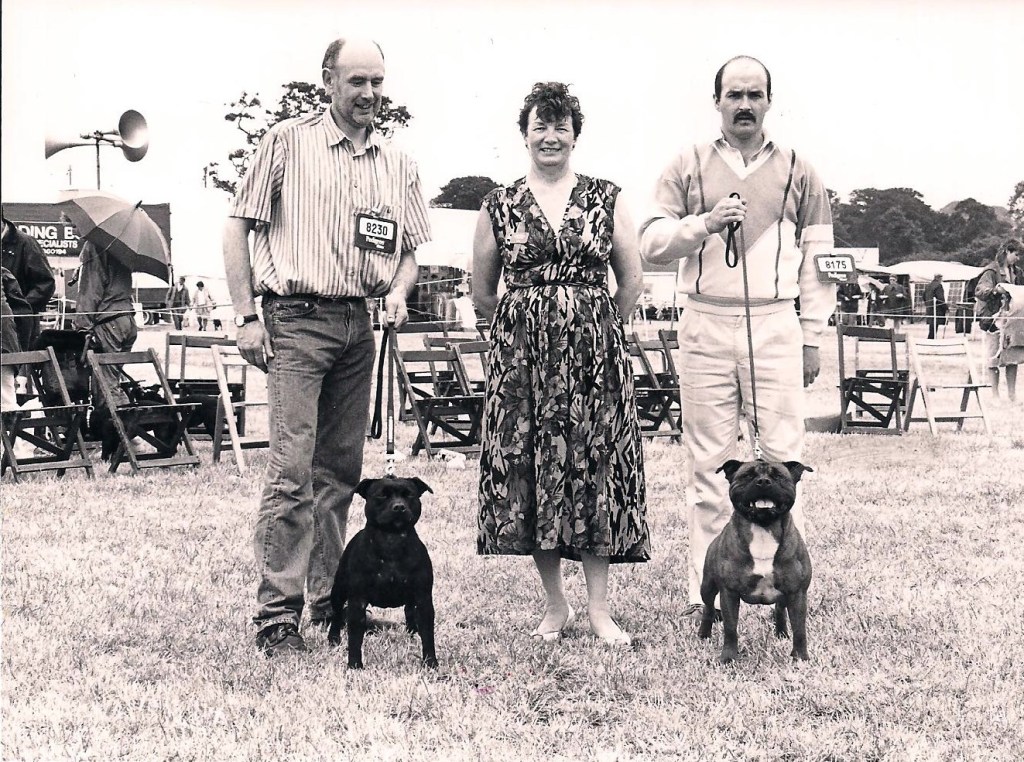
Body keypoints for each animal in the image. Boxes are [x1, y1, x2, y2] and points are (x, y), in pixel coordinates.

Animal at [328, 476, 437, 669]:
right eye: (381, 496)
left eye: (409, 495)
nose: (399, 507)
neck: (391, 539)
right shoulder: (357, 601)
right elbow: (355, 637)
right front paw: (354, 665)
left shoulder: (423, 598)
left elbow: (428, 634)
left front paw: (430, 663)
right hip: (338, 590)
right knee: (337, 612)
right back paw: (333, 638)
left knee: (409, 610)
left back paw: (412, 633)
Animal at [699, 458, 813, 663]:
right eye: (747, 475)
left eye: (779, 476)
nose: (763, 481)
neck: (763, 529)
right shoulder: (729, 593)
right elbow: (730, 629)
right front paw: (728, 658)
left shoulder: (797, 592)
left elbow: (800, 629)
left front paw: (801, 658)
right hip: (707, 586)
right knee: (709, 608)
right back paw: (704, 634)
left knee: (779, 609)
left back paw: (782, 633)